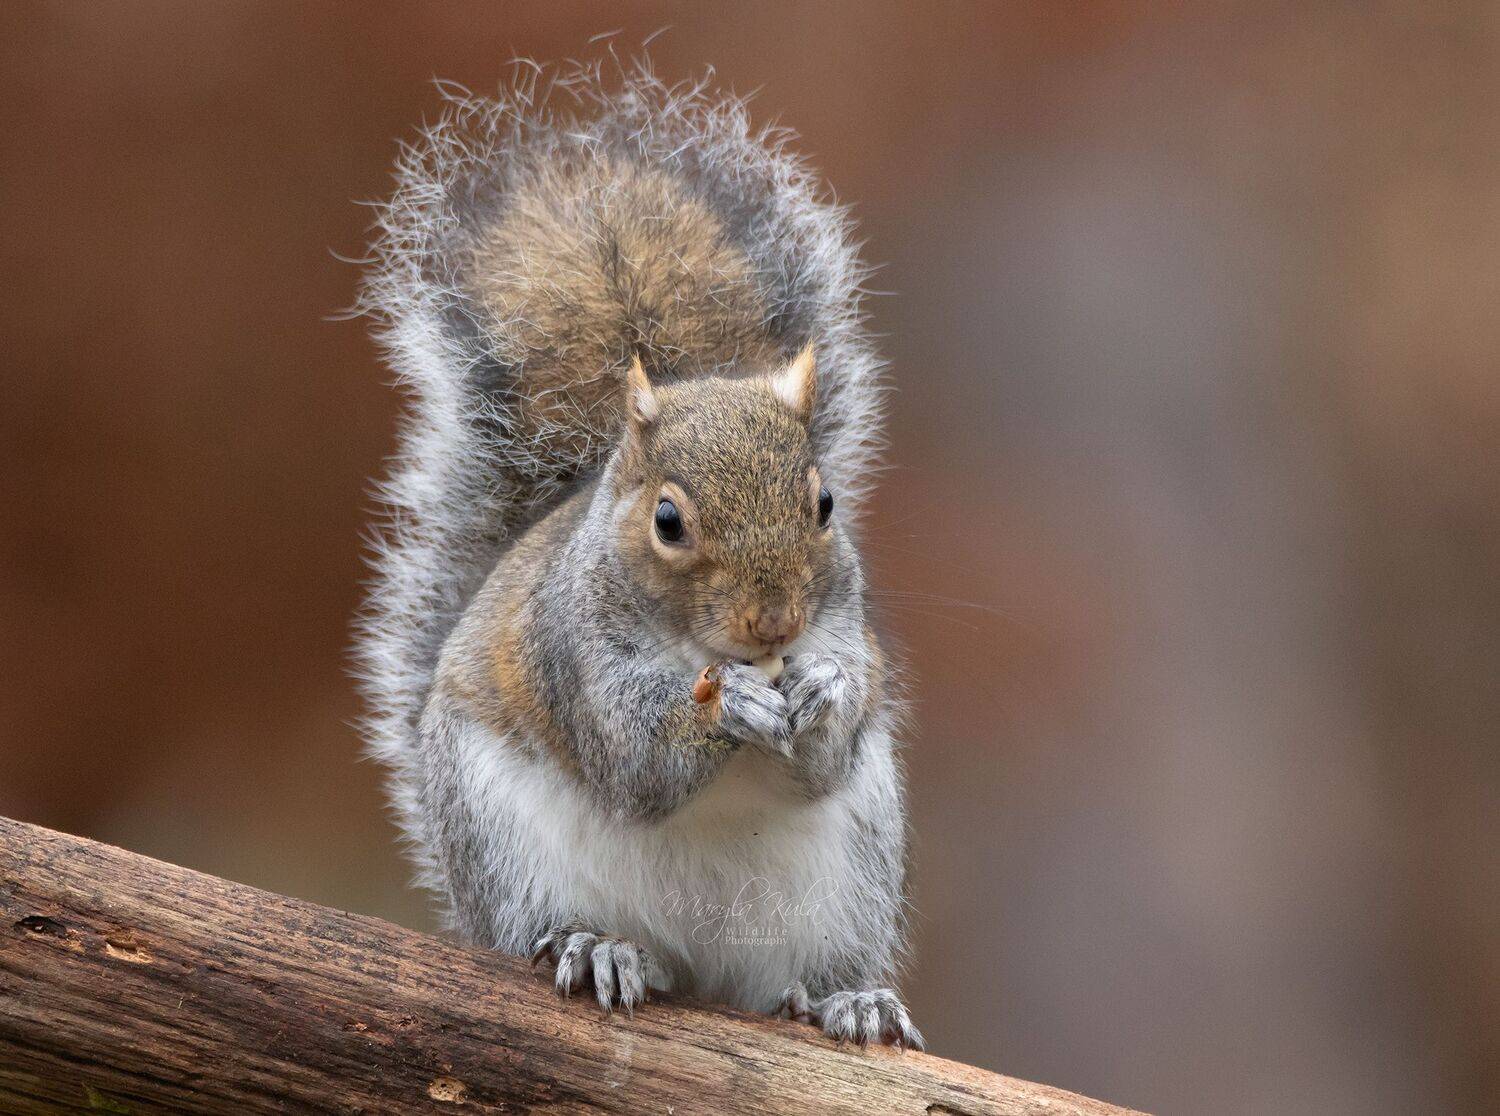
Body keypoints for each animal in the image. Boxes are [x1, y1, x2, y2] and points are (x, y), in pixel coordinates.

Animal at [355, 62, 921, 1049]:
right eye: (667, 522)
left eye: (824, 504)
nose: (775, 623)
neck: (705, 648)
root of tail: (699, 968)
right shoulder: (574, 657)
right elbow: (636, 762)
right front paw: (725, 706)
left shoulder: (845, 637)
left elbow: (823, 757)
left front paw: (822, 692)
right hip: (502, 841)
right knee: (543, 925)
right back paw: (598, 948)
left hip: (855, 866)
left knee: (802, 977)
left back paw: (847, 998)